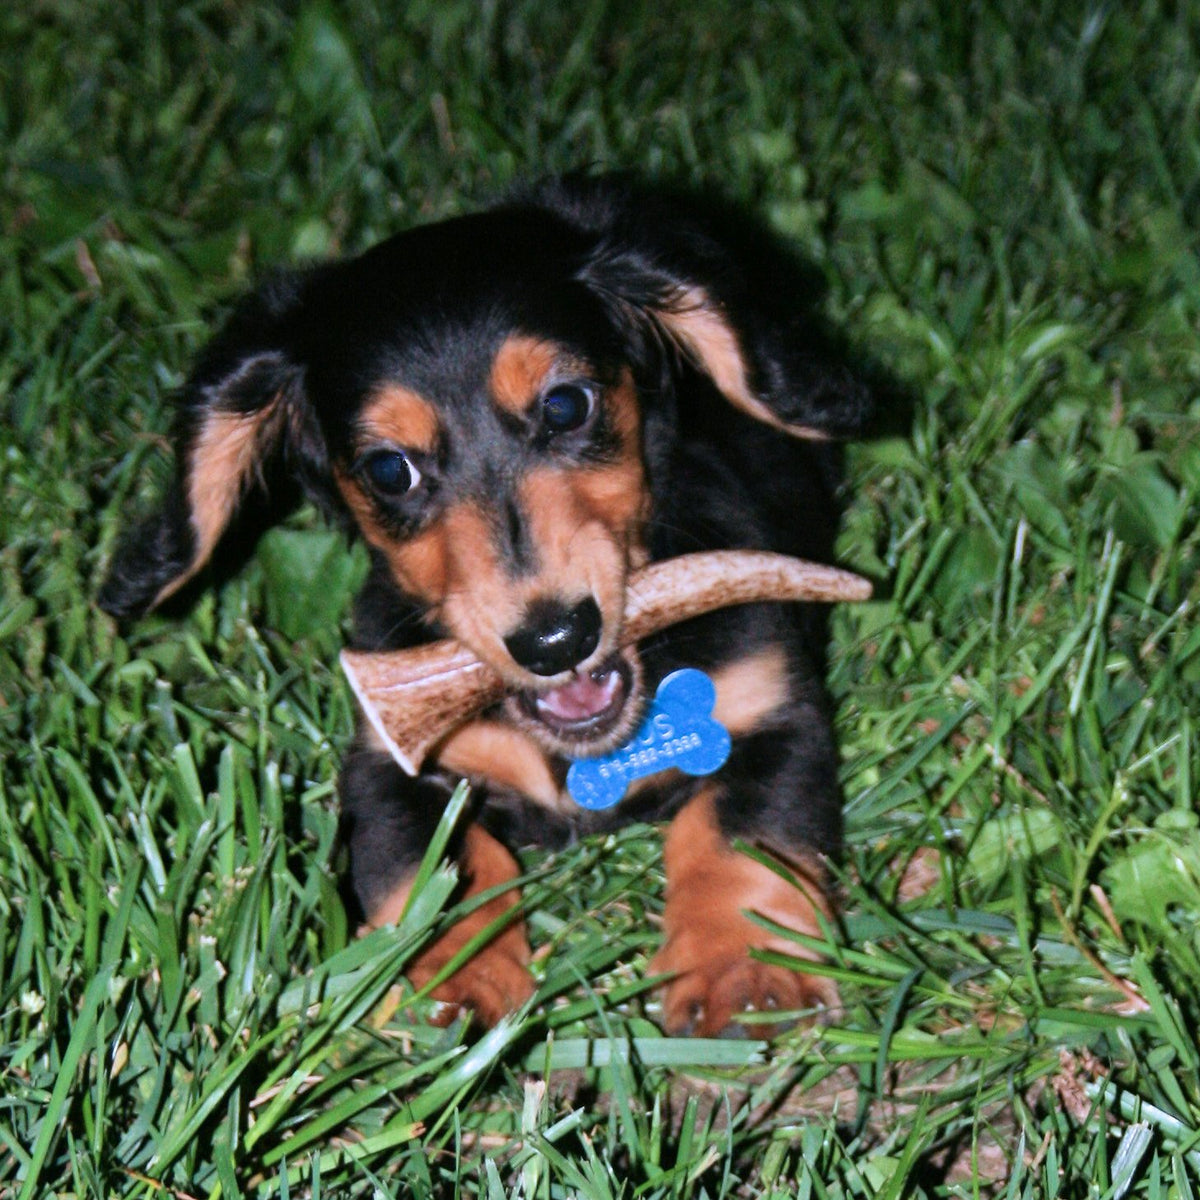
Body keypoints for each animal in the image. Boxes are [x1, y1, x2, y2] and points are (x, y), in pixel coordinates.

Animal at [103, 174, 873, 1036]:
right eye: (390, 470)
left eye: (566, 405)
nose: (556, 640)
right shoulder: (391, 765)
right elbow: (440, 863)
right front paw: (447, 985)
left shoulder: (772, 713)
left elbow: (733, 833)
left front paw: (741, 970)